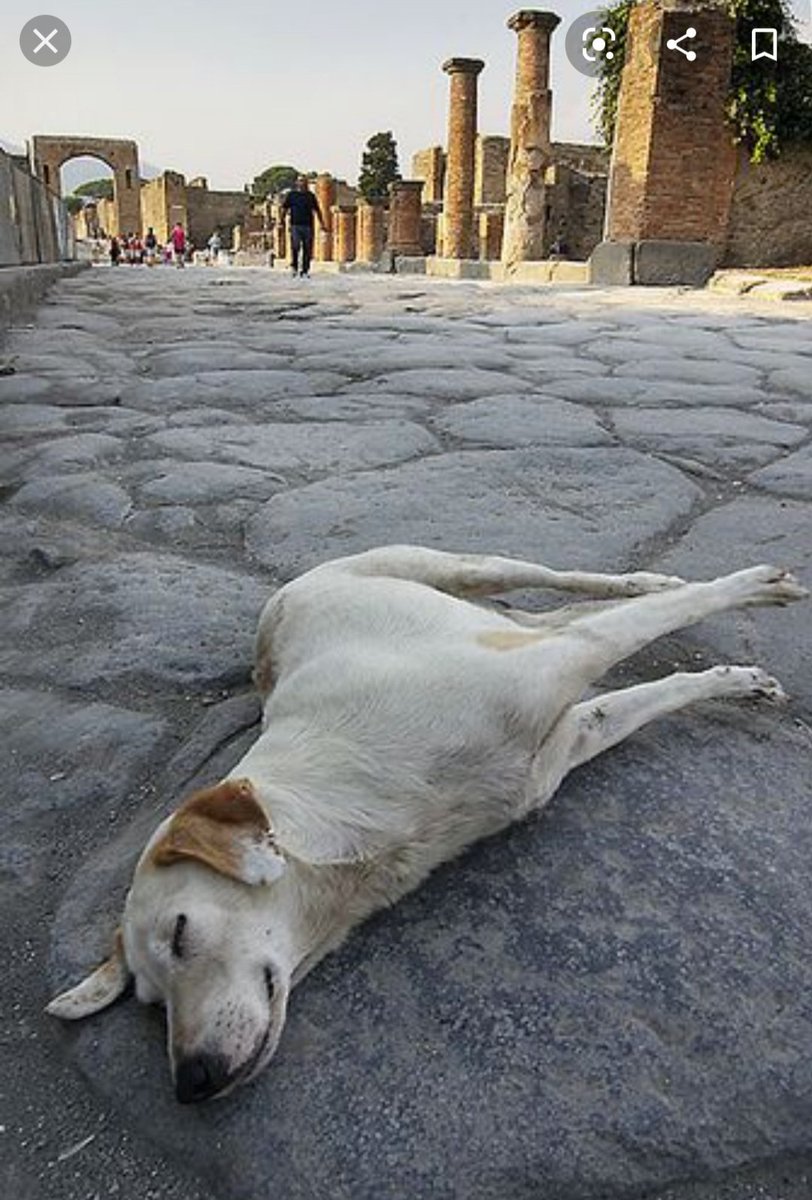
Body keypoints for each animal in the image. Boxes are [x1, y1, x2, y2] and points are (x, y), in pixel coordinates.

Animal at [47, 549, 806, 1099]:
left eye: (180, 934)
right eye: (151, 1002)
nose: (191, 1084)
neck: (351, 813)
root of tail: (285, 598)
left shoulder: (563, 661)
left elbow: (664, 613)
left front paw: (750, 587)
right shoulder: (559, 743)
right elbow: (662, 686)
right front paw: (737, 680)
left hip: (460, 568)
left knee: (574, 584)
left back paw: (659, 576)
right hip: (503, 620)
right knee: (565, 610)